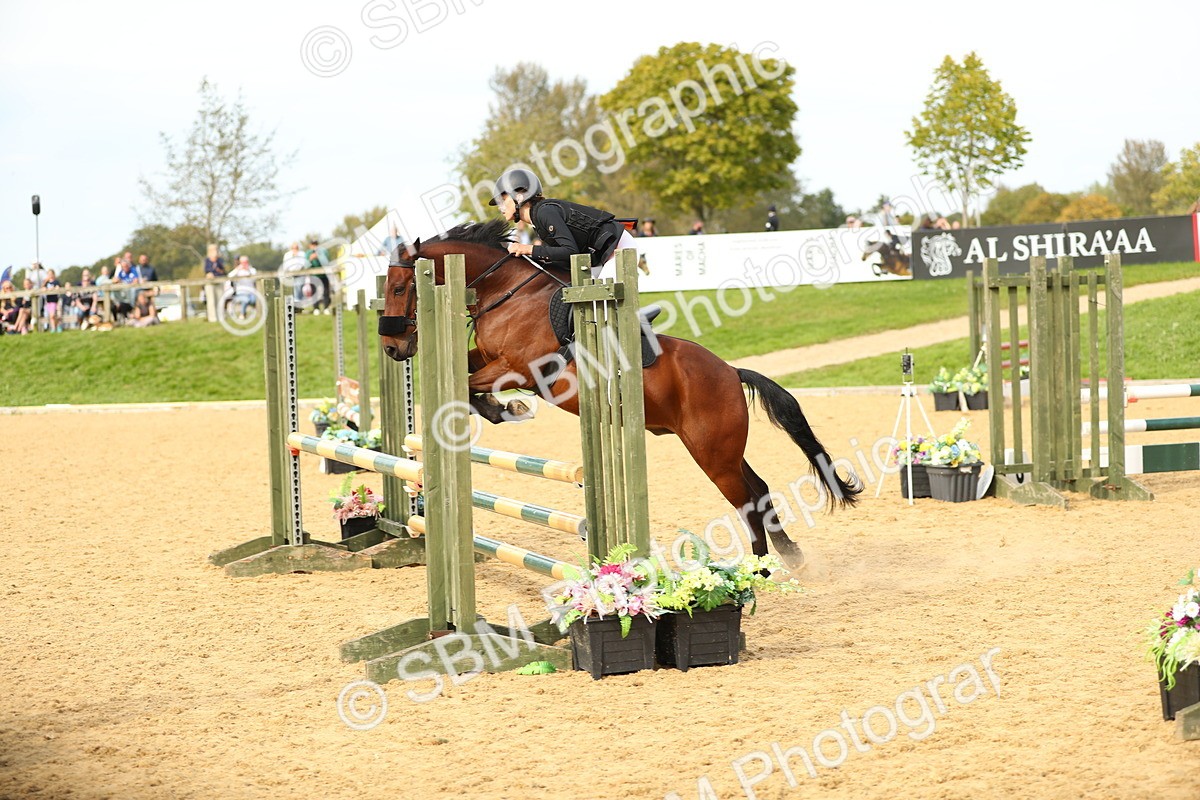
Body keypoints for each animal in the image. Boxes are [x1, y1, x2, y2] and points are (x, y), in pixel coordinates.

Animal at [378, 219, 861, 568]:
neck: (507, 293)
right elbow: (465, 371)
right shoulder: (488, 356)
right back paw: (787, 558)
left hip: (712, 452)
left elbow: (472, 386)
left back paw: (760, 570)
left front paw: (509, 408)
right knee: (757, 490)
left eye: (400, 288)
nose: (392, 348)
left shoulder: (520, 369)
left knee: (745, 499)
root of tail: (729, 371)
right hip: (718, 448)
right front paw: (501, 408)